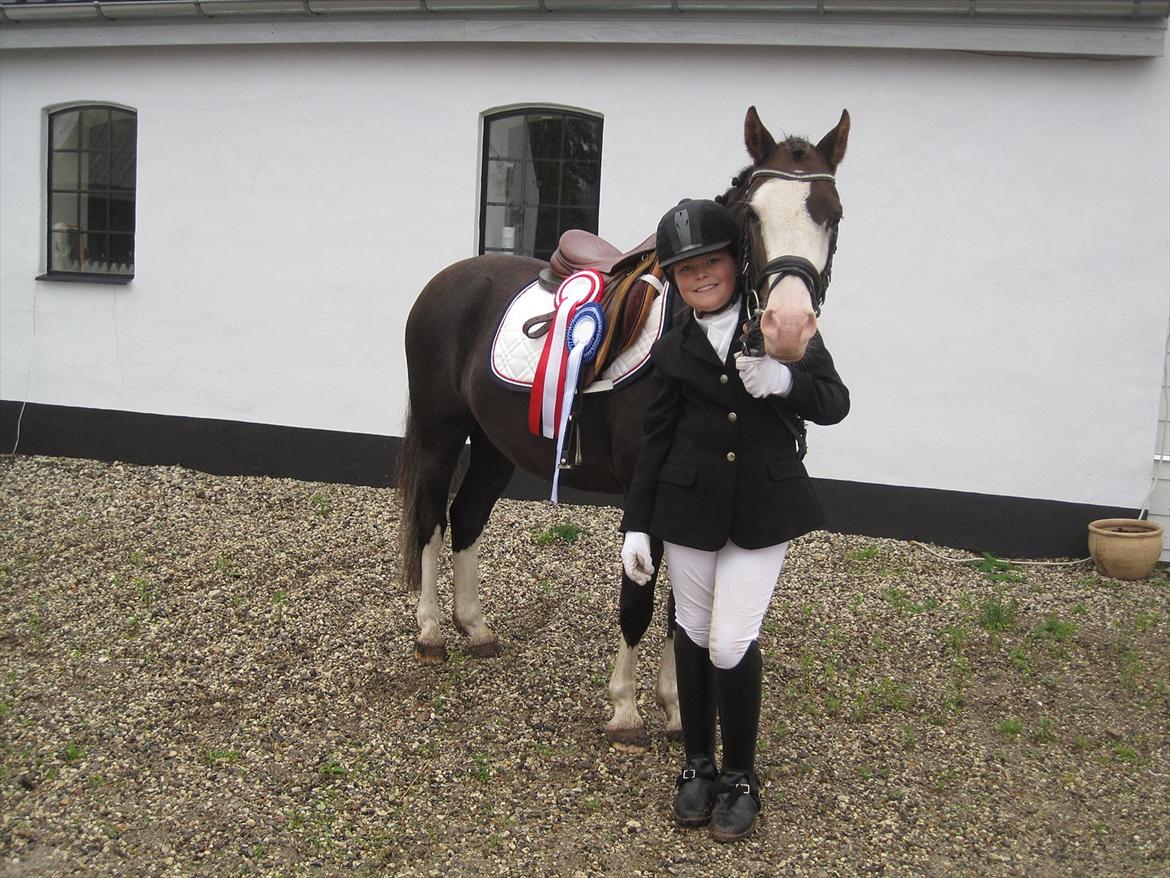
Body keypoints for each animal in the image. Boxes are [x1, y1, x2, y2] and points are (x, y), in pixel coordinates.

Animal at [397, 104, 847, 749]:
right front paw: (627, 709)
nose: (788, 327)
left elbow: (684, 612)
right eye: (751, 218)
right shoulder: (646, 492)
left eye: (832, 215)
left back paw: (475, 628)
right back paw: (431, 631)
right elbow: (639, 603)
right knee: (431, 518)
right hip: (440, 434)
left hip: (494, 446)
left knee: (466, 518)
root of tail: (446, 280)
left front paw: (678, 709)